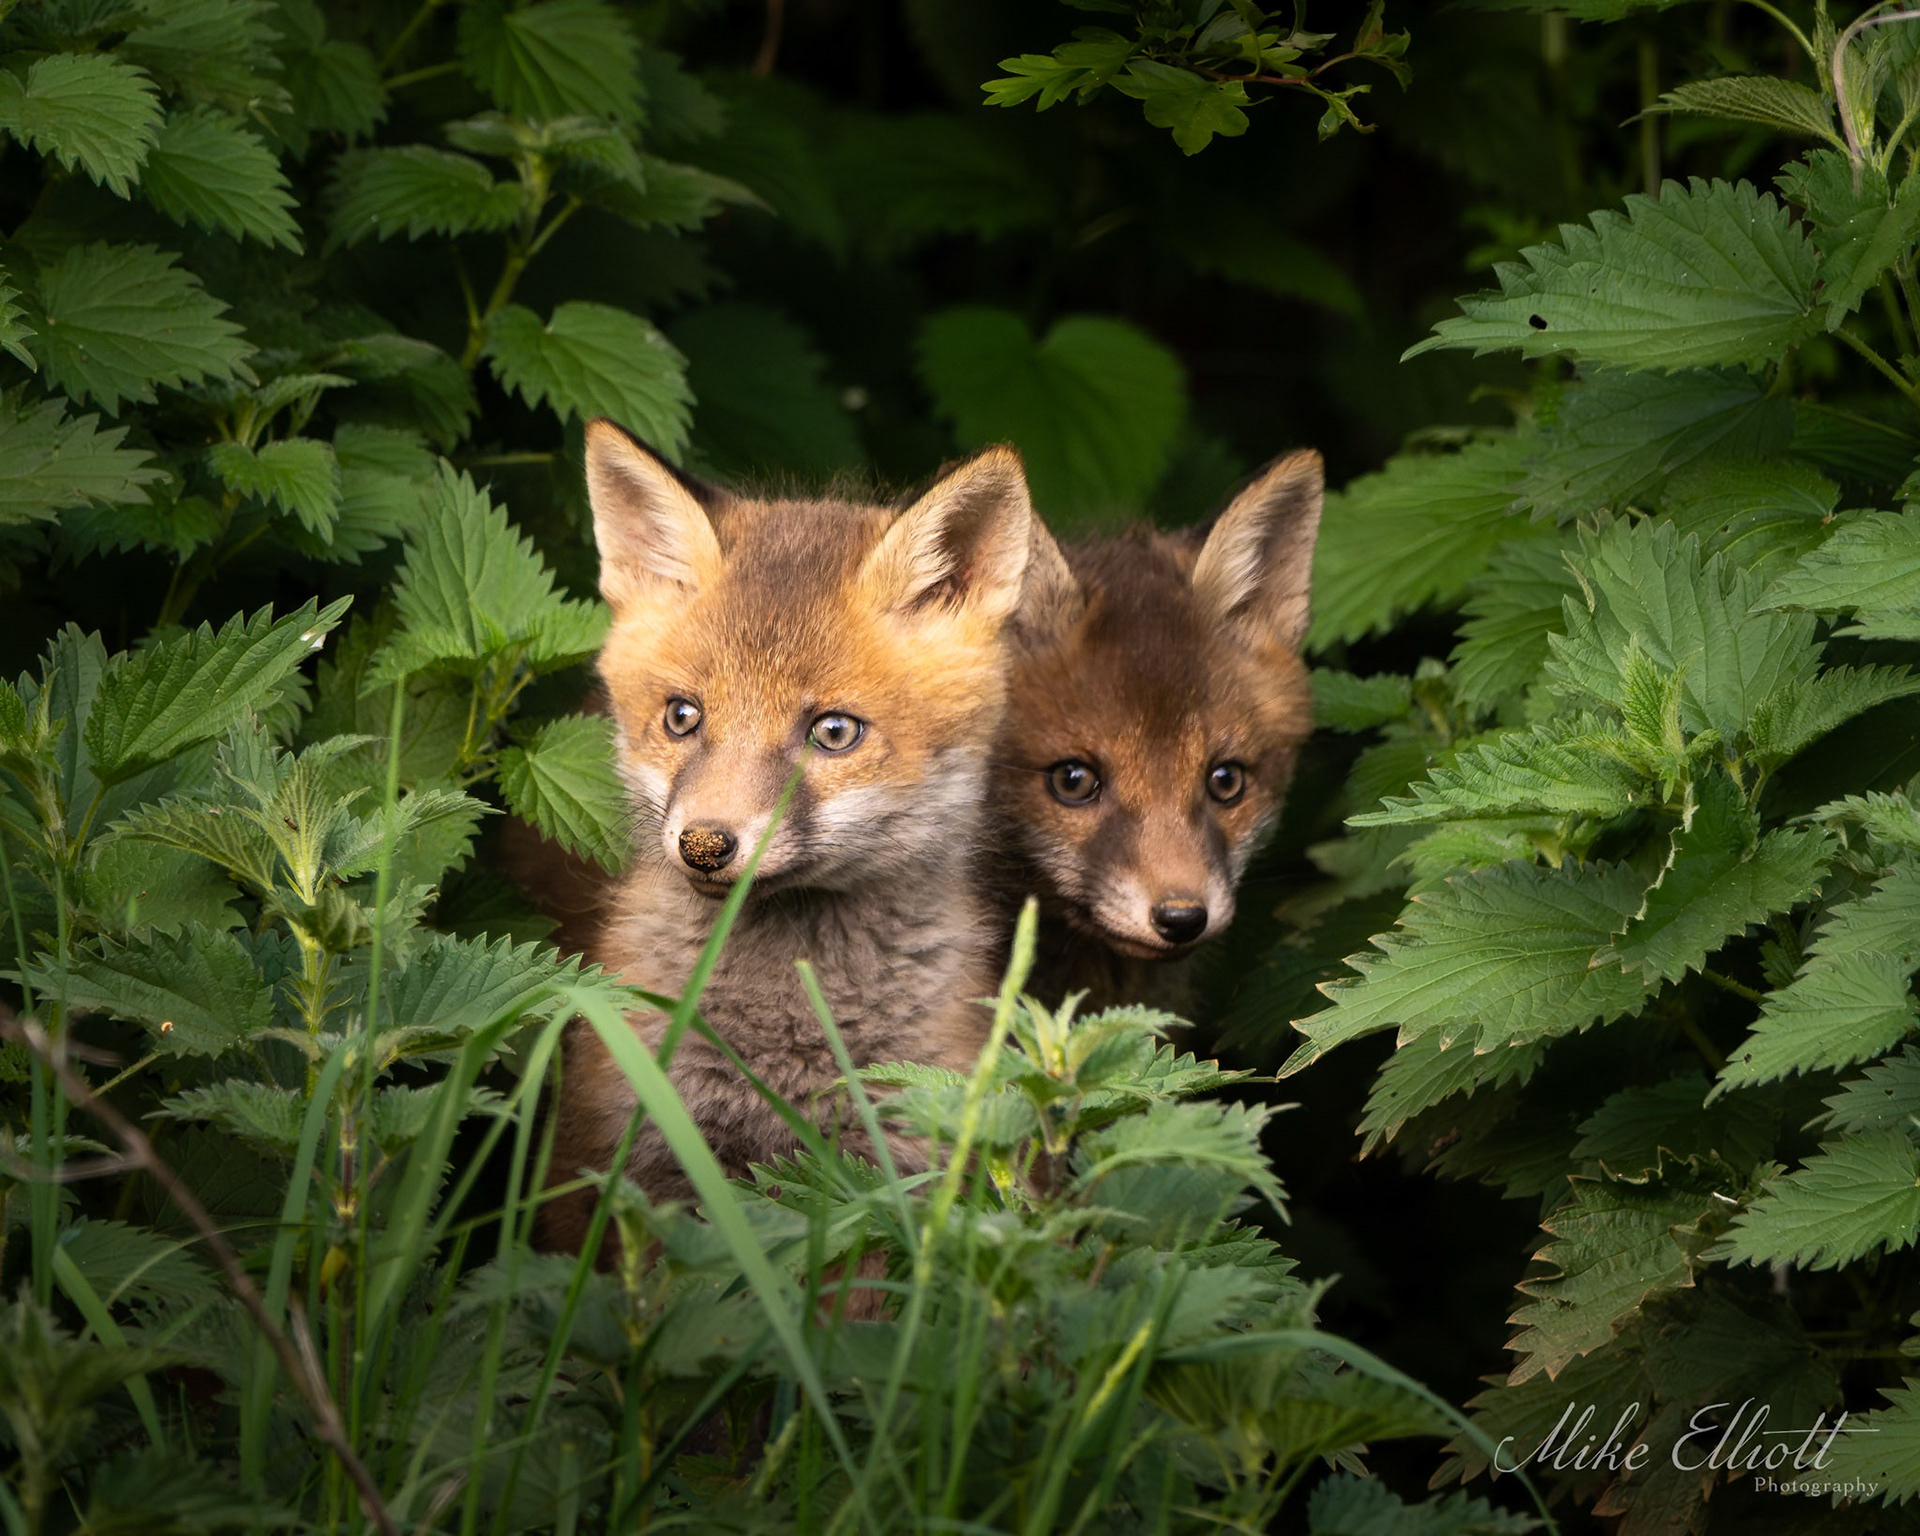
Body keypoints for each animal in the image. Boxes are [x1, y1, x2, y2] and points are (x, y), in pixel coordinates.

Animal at [539, 420, 1041, 1255]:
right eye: (682, 717)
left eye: (833, 732)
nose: (705, 845)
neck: (782, 1052)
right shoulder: (618, 1156)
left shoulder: (904, 1164)